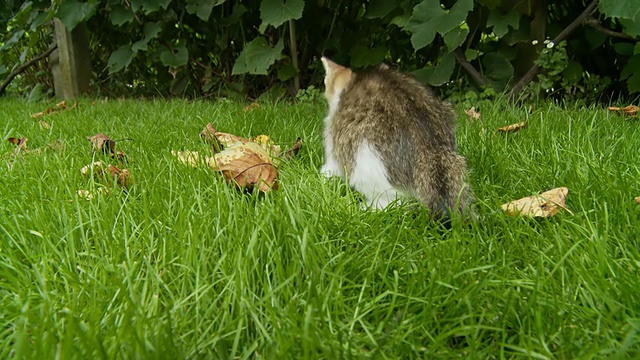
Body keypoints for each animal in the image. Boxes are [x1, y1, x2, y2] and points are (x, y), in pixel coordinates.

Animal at [322, 57, 472, 221]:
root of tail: (429, 149)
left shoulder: (334, 142)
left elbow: (330, 168)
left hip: (365, 159)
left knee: (397, 202)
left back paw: (366, 208)